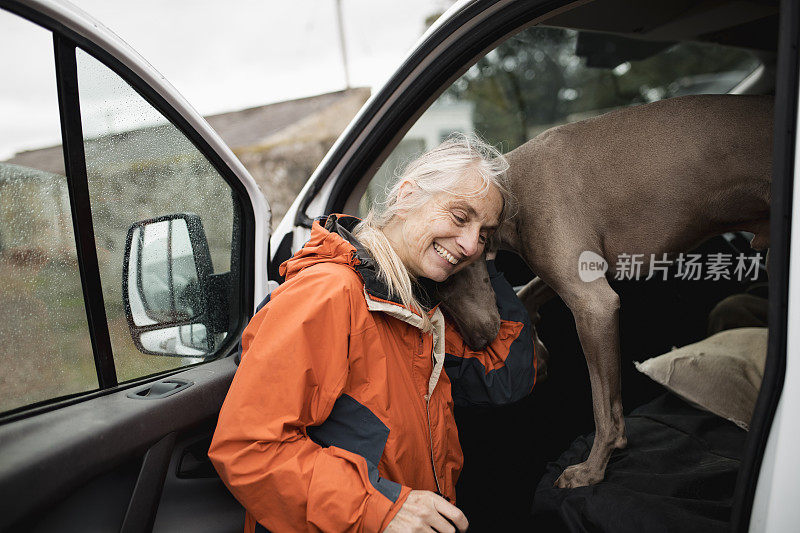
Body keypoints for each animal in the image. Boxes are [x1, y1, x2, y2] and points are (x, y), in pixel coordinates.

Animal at [438, 94, 776, 486]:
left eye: (452, 275)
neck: (510, 187)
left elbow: (603, 404)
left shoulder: (594, 305)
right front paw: (537, 348)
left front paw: (592, 468)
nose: (477, 342)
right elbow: (527, 294)